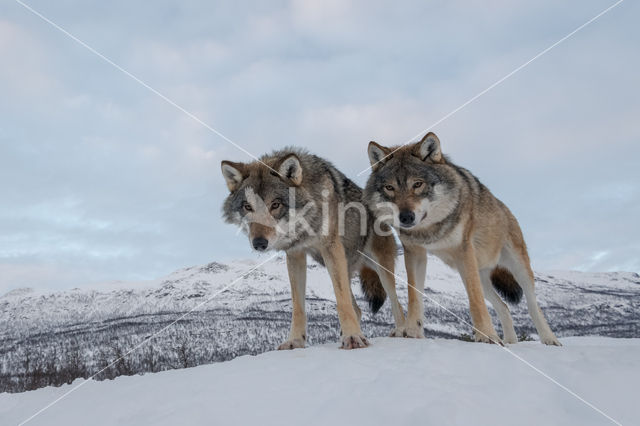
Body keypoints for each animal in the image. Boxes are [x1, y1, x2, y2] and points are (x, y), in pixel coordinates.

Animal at [221, 149, 404, 350]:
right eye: (248, 207)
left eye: (275, 205)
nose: (259, 243)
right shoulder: (295, 254)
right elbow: (298, 307)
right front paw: (295, 341)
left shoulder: (331, 247)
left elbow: (342, 302)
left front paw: (353, 337)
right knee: (357, 308)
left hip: (380, 269)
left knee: (396, 303)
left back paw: (403, 331)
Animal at [364, 133, 560, 346]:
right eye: (389, 187)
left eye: (417, 184)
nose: (406, 217)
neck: (430, 229)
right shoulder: (415, 253)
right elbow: (414, 295)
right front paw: (412, 332)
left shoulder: (463, 251)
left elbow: (475, 301)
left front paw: (486, 336)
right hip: (479, 276)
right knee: (504, 307)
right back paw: (510, 342)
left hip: (516, 267)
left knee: (533, 305)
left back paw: (549, 340)